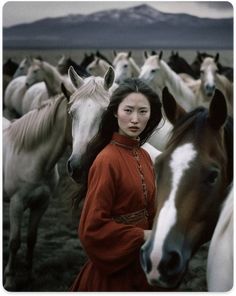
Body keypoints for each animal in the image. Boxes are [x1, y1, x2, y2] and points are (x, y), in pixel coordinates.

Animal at [3, 92, 72, 290]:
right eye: (74, 114)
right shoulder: (17, 204)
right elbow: (14, 242)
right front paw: (10, 279)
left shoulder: (42, 203)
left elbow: (32, 238)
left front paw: (30, 275)